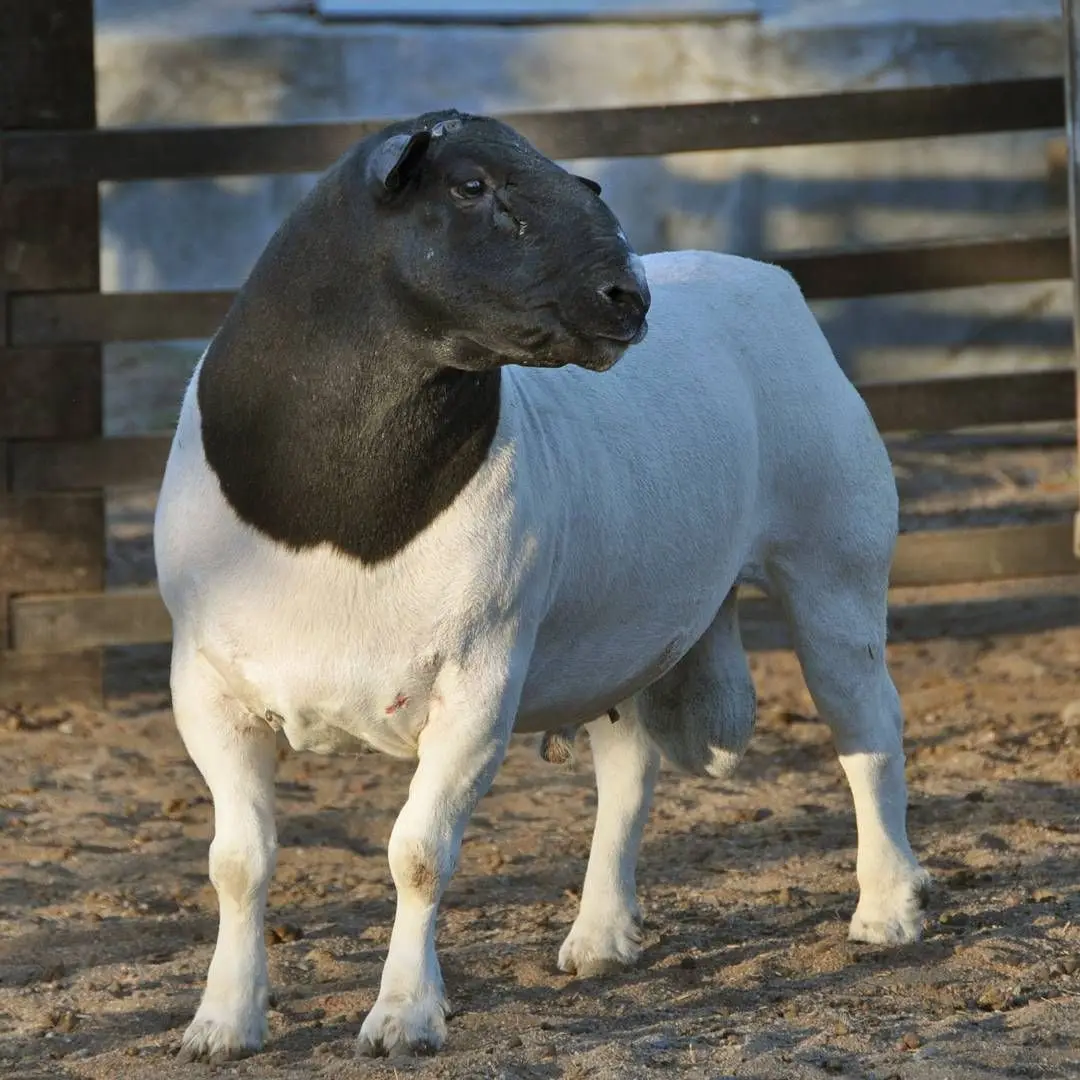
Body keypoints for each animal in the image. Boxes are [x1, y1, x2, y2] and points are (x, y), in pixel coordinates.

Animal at [153, 108, 931, 1063]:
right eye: (470, 186)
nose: (629, 296)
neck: (340, 510)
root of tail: (762, 277)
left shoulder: (477, 685)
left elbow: (418, 854)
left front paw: (405, 1015)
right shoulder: (206, 686)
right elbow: (237, 863)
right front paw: (222, 1022)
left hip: (835, 561)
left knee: (868, 731)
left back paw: (888, 909)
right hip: (626, 627)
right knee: (628, 775)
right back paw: (600, 937)